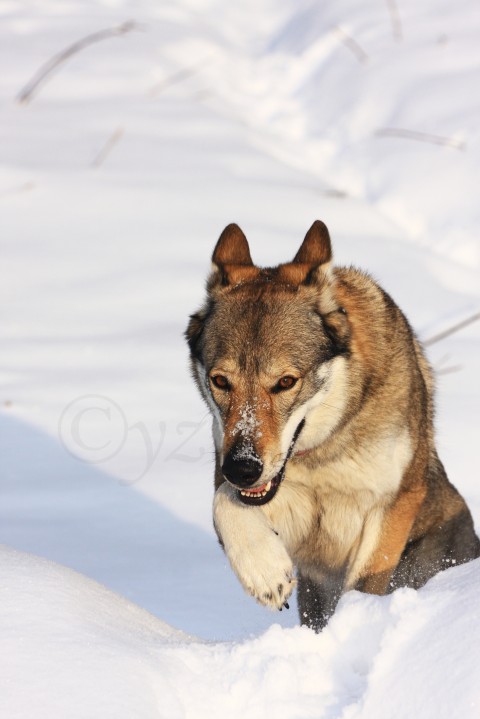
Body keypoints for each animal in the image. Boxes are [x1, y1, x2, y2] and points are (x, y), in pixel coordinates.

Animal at [185, 219, 480, 632]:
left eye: (286, 382)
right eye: (220, 381)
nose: (243, 468)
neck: (322, 455)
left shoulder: (392, 503)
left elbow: (366, 585)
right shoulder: (243, 481)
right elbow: (223, 502)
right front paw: (266, 573)